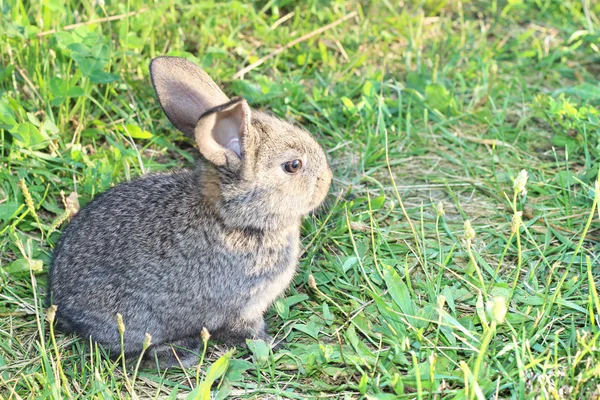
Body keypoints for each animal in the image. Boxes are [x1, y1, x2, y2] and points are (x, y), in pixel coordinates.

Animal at [48, 56, 332, 368]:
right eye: (293, 165)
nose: (327, 180)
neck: (236, 220)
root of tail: (63, 306)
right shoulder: (243, 307)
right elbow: (247, 332)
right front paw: (272, 345)